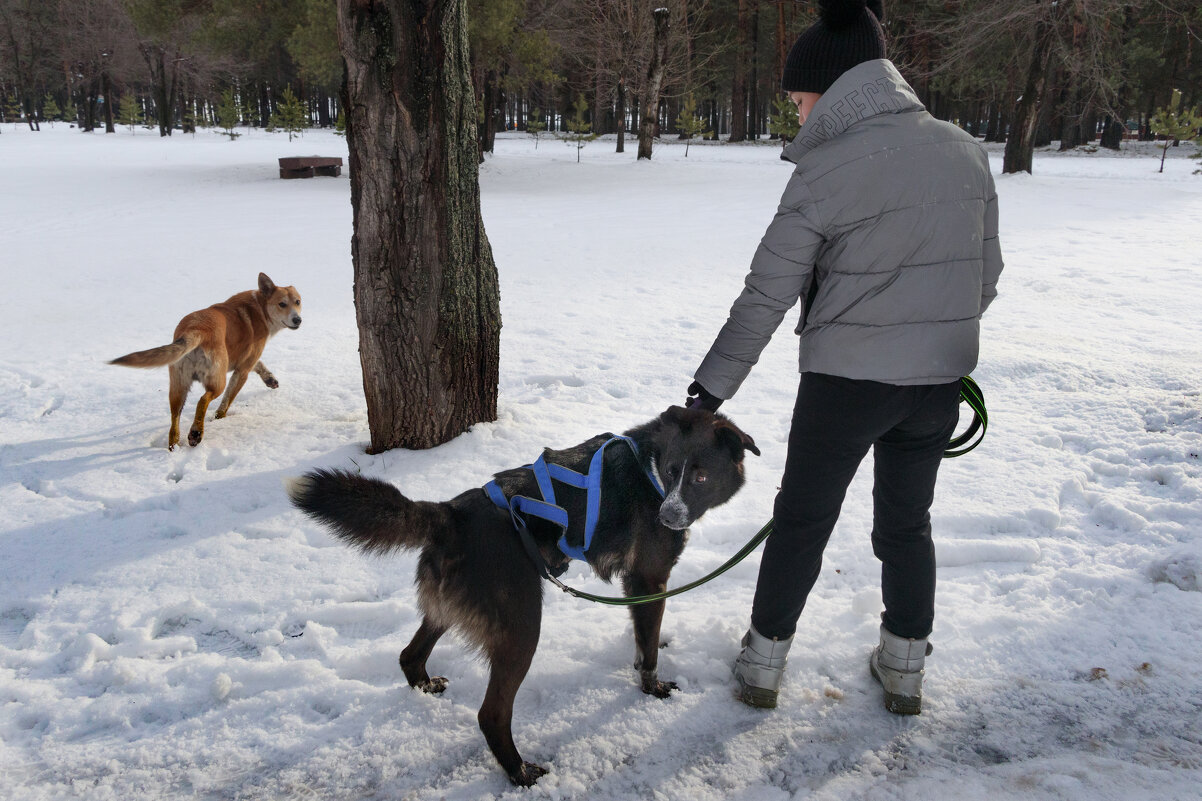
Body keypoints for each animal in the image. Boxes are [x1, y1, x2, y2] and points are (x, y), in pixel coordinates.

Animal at [111, 273, 302, 449]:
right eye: (282, 304)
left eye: (298, 302)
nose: (298, 320)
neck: (261, 307)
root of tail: (195, 329)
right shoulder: (242, 370)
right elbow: (227, 401)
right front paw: (219, 418)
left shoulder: (244, 360)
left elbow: (259, 364)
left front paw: (270, 379)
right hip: (217, 380)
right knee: (203, 400)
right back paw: (196, 433)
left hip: (178, 385)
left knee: (174, 420)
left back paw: (175, 445)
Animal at [286, 408, 754, 784]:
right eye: (673, 471)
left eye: (700, 476)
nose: (668, 516)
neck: (649, 469)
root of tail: (451, 513)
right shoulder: (649, 579)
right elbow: (650, 648)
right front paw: (652, 687)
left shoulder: (637, 585)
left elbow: (644, 637)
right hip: (521, 628)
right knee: (491, 714)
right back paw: (520, 772)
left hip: (448, 610)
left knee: (409, 655)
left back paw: (425, 686)